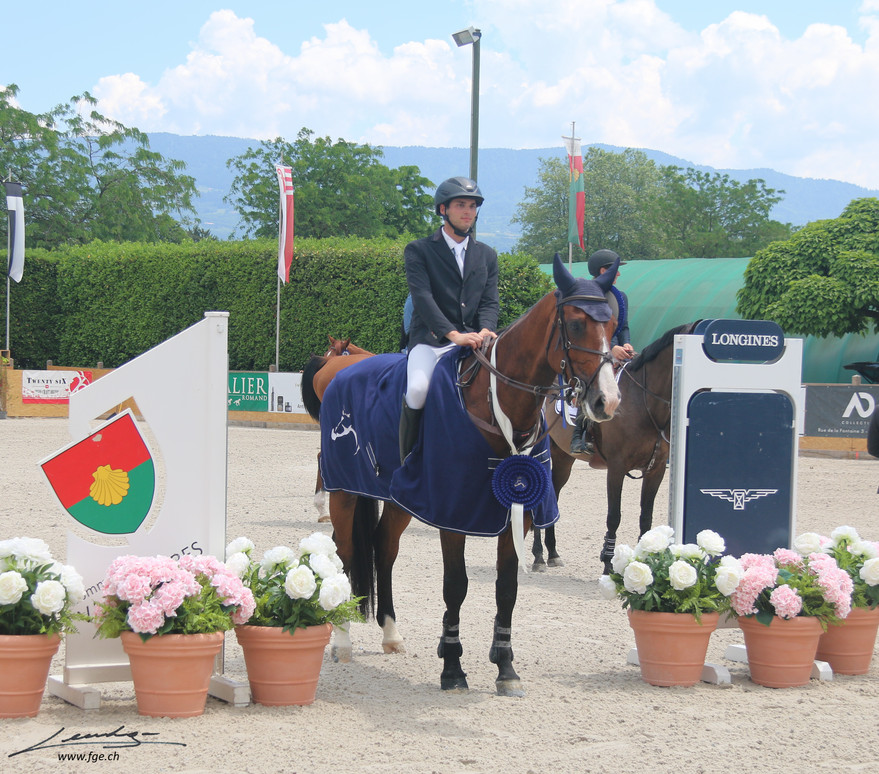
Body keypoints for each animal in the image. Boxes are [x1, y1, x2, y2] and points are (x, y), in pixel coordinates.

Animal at [300, 254, 622, 695]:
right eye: (575, 324)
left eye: (612, 324)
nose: (607, 402)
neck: (496, 403)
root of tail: (340, 369)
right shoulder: (451, 515)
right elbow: (456, 584)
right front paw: (452, 667)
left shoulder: (517, 513)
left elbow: (507, 588)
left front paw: (505, 667)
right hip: (346, 490)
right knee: (346, 548)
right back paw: (343, 640)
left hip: (400, 499)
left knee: (384, 547)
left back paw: (391, 633)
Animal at [532, 321, 701, 575]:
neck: (644, 401)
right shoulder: (616, 467)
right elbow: (614, 516)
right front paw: (608, 562)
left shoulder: (656, 469)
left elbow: (646, 517)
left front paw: (646, 560)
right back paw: (539, 556)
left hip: (563, 458)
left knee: (554, 494)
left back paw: (552, 553)